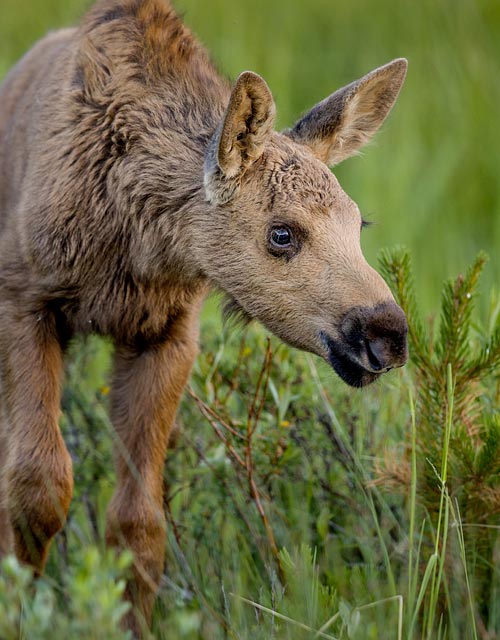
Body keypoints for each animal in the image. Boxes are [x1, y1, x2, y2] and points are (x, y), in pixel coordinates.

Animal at [0, 0, 408, 635]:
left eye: (359, 223)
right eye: (281, 233)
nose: (387, 332)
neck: (132, 240)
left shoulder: (166, 333)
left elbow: (139, 523)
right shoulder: (24, 298)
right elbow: (36, 487)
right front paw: (18, 614)